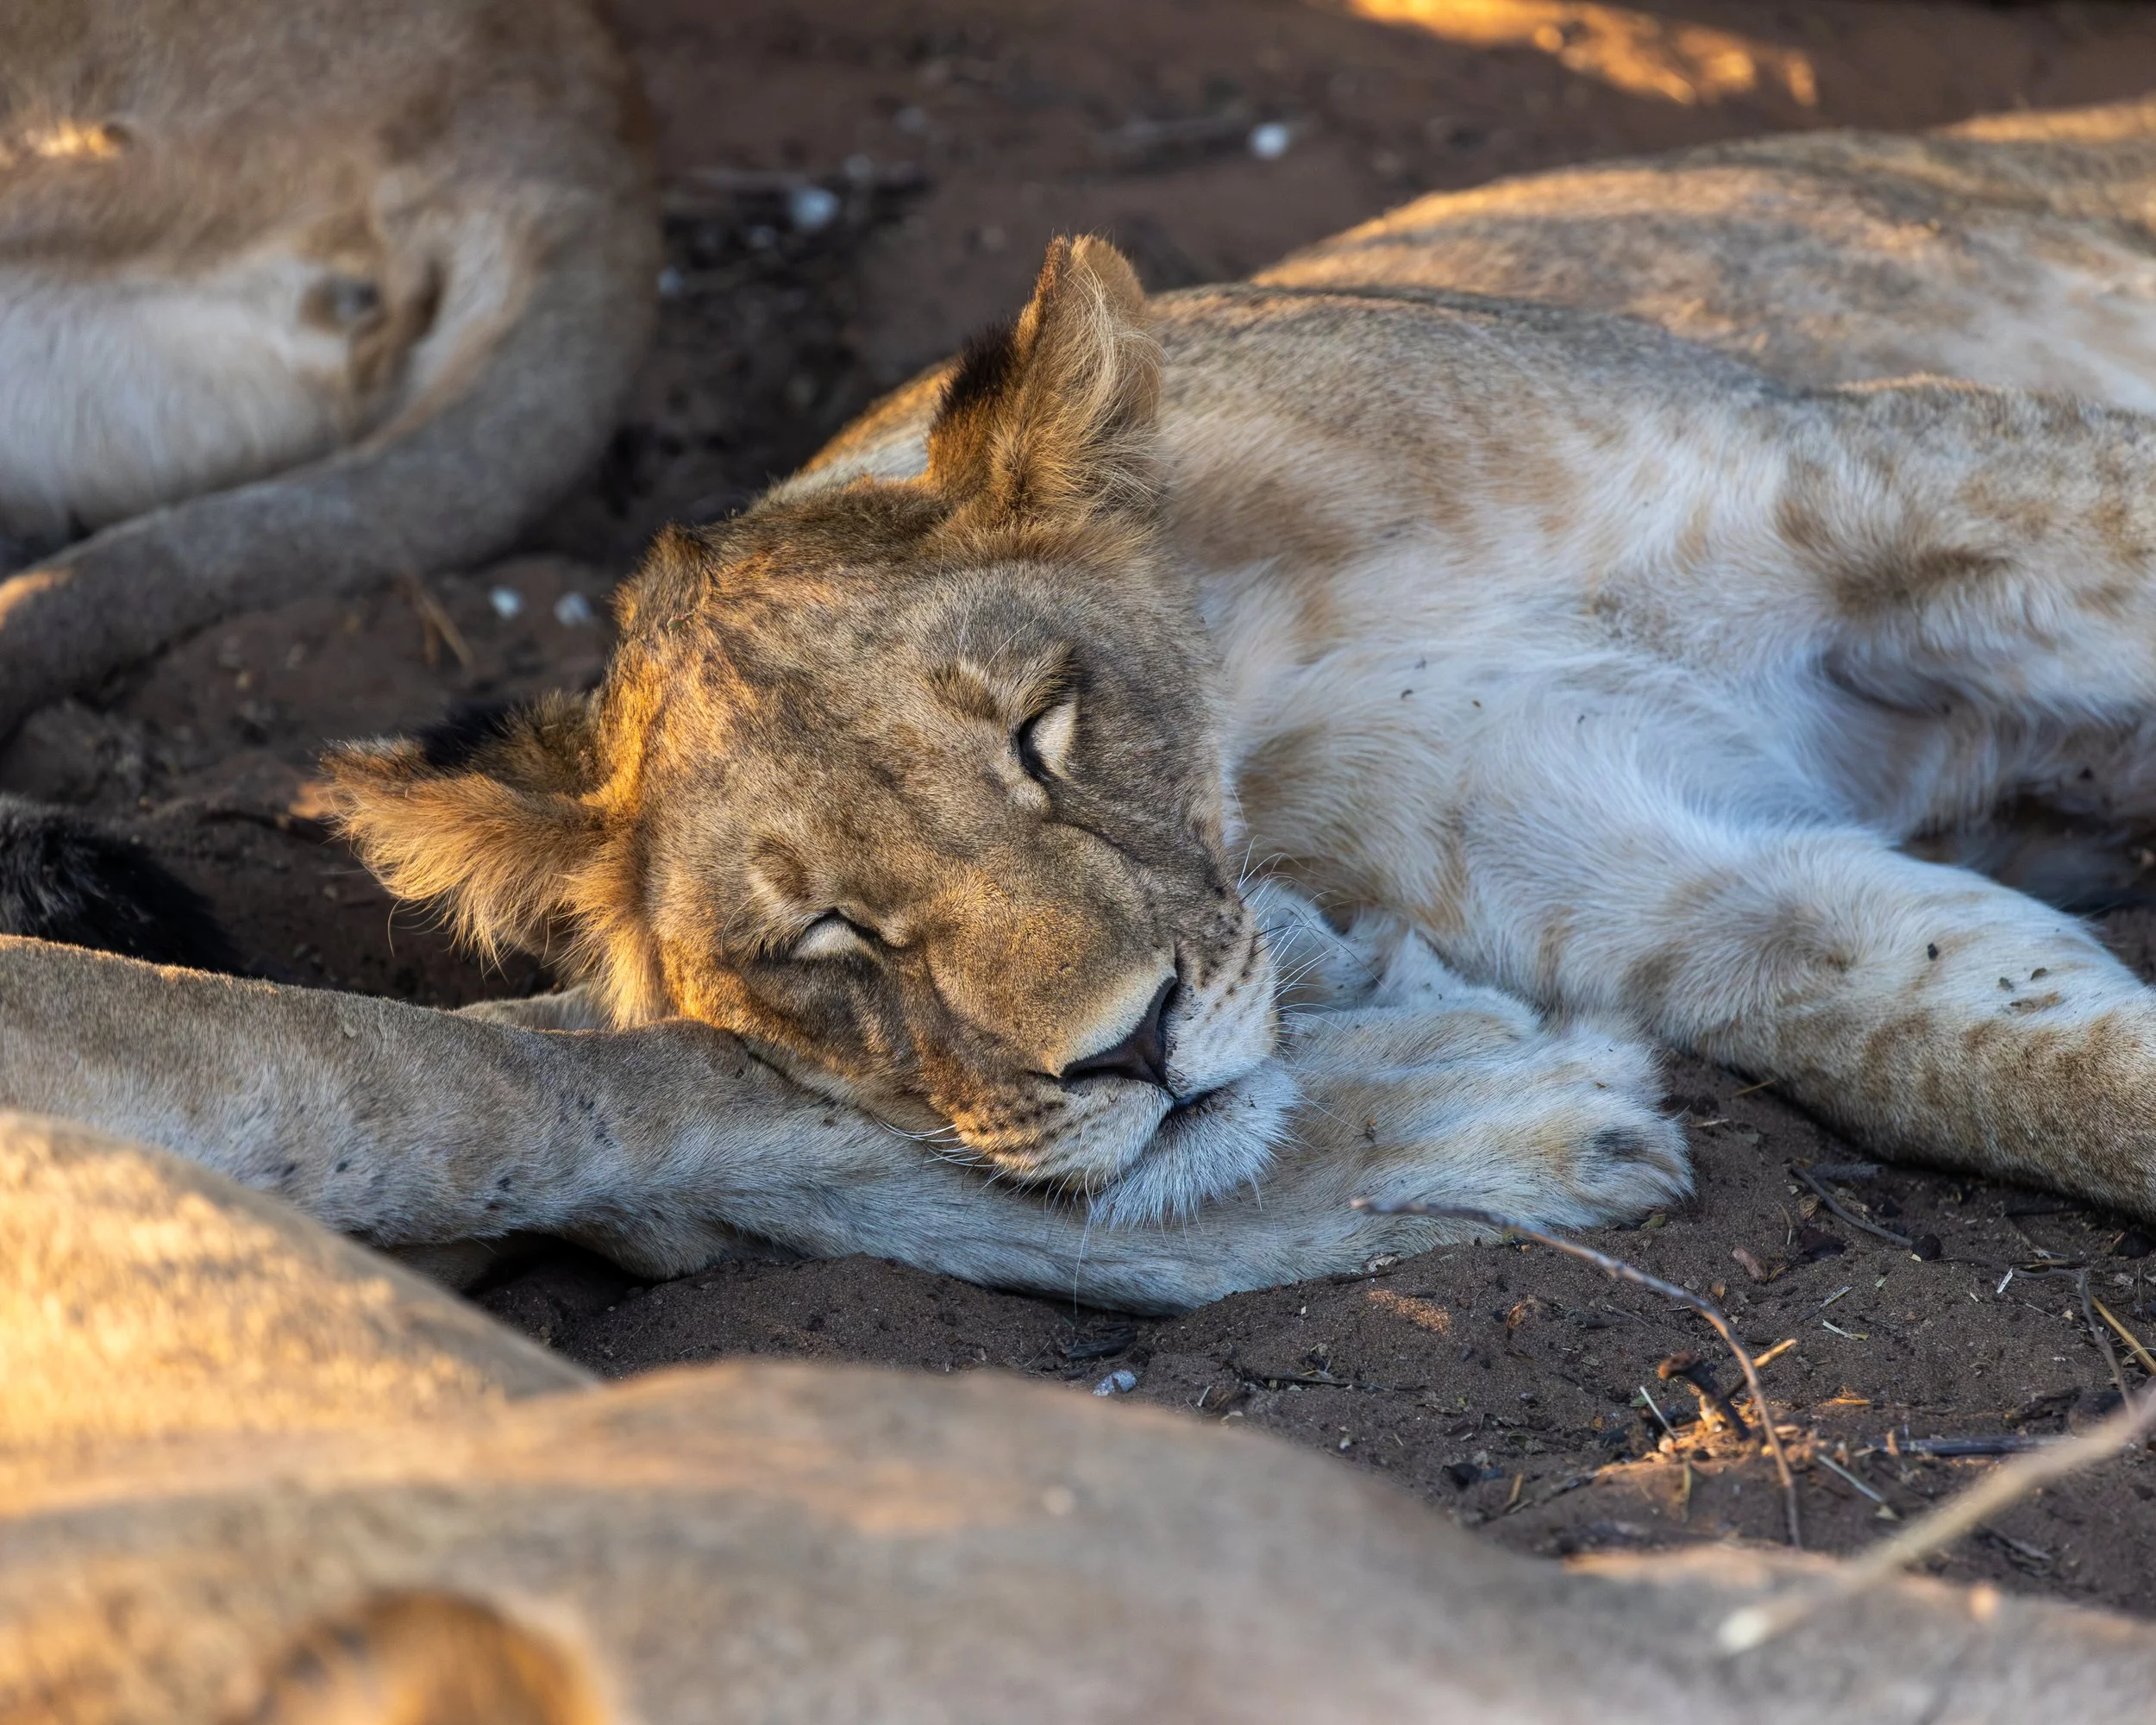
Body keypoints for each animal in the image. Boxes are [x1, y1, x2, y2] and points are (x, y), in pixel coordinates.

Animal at [12, 100, 2156, 1310]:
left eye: (1040, 733)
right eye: (829, 935)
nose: (1123, 1051)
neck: (1264, 690)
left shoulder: (1879, 478)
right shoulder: (1684, 889)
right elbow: (2021, 1057)